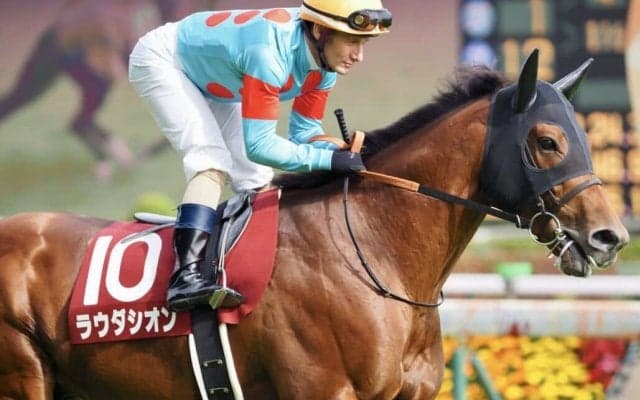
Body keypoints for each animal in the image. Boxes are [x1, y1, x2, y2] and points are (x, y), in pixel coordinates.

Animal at [0, 50, 629, 399]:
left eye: (584, 136)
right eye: (546, 141)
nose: (610, 238)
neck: (377, 254)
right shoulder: (325, 389)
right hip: (24, 377)